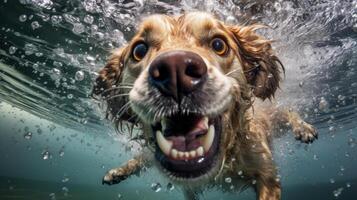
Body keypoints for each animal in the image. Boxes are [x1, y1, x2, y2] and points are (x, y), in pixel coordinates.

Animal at [92, 12, 318, 200]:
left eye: (219, 44)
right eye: (139, 50)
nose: (175, 68)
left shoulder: (267, 176)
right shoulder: (188, 187)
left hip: (277, 116)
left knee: (288, 112)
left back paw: (303, 129)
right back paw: (117, 172)